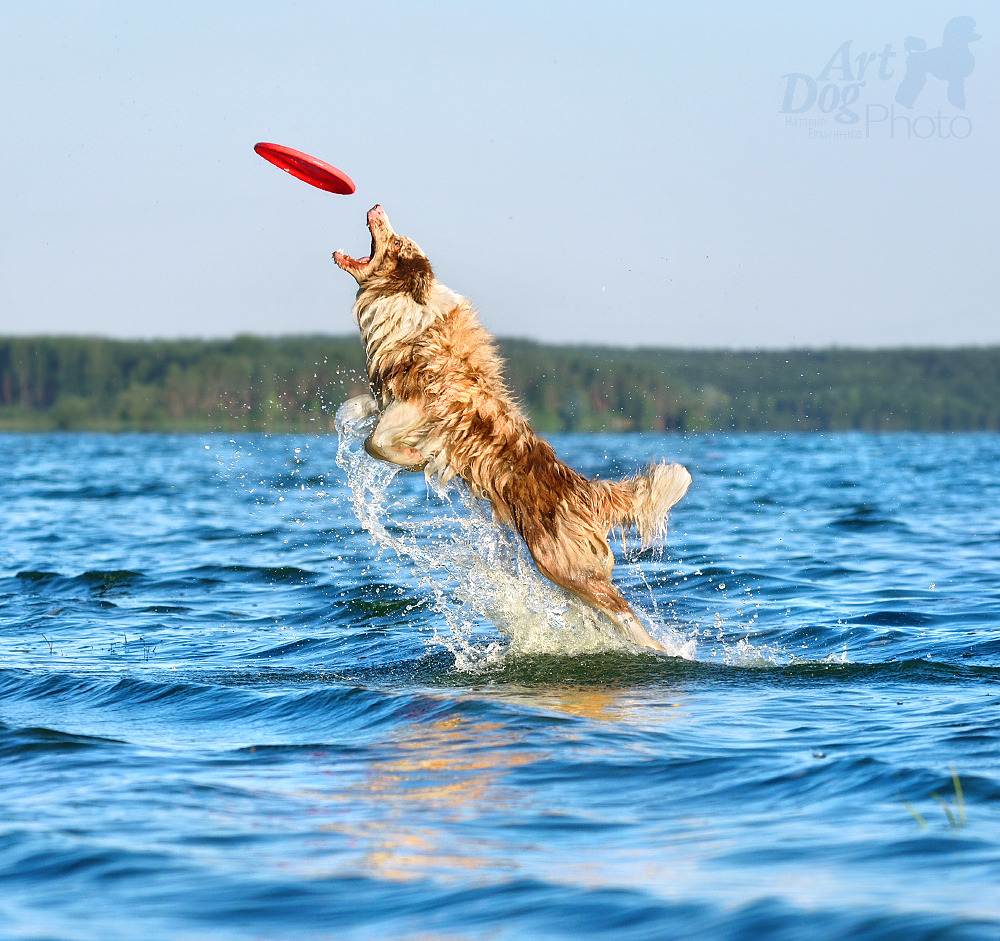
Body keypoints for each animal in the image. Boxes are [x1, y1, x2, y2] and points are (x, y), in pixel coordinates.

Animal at [332, 204, 692, 652]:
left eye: (398, 241)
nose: (376, 207)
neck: (405, 306)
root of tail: (584, 490)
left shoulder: (421, 406)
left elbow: (376, 441)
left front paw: (411, 458)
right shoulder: (389, 399)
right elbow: (357, 412)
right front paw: (352, 422)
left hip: (562, 564)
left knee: (625, 613)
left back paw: (660, 651)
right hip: (569, 576)